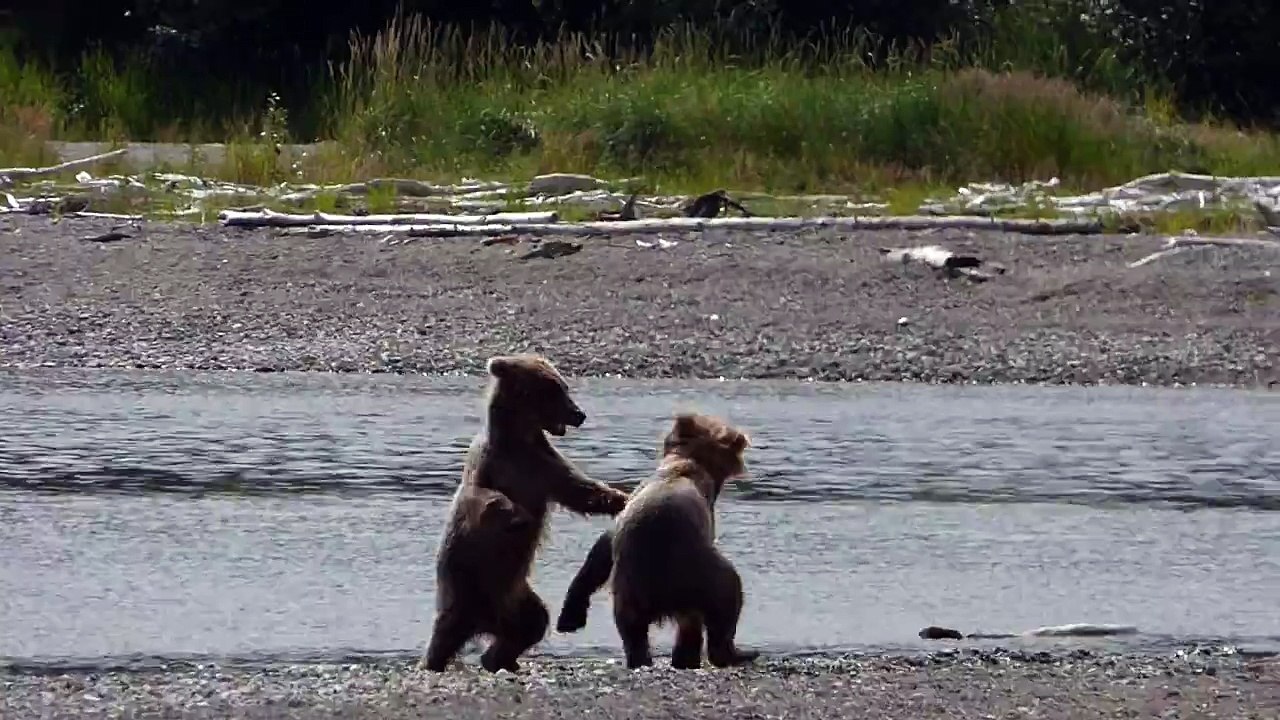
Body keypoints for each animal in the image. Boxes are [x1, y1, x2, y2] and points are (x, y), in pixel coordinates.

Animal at [422, 353, 630, 673]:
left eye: (564, 386)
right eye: (553, 389)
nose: (580, 414)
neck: (519, 440)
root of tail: (485, 621)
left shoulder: (545, 468)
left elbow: (581, 491)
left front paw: (622, 498)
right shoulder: (493, 463)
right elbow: (484, 498)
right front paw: (516, 514)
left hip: (515, 597)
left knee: (533, 622)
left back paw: (500, 659)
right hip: (465, 586)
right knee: (445, 634)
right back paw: (435, 661)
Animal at [555, 412, 759, 670]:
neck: (687, 463)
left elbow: (599, 554)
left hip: (633, 589)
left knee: (636, 632)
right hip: (695, 571)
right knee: (727, 602)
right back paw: (738, 653)